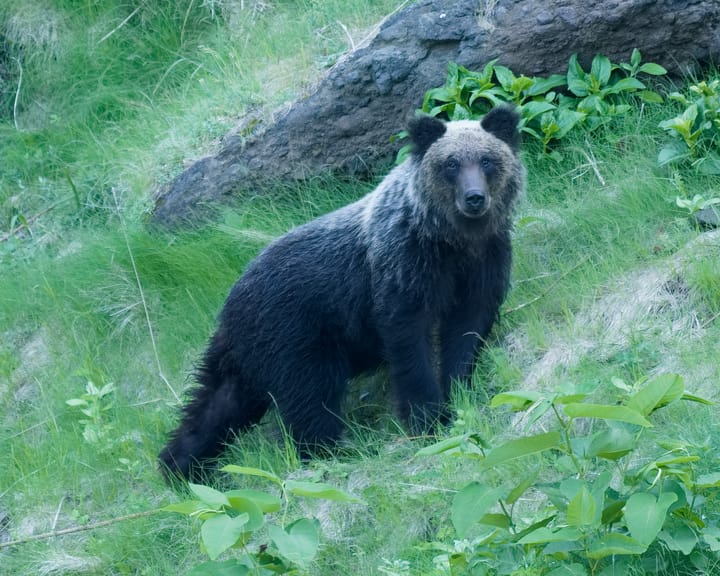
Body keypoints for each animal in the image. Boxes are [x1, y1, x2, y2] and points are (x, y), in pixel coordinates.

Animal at [159, 105, 524, 480]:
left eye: (487, 159)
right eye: (450, 163)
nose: (474, 198)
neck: (450, 241)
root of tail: (229, 302)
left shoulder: (483, 263)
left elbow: (466, 330)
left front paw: (458, 394)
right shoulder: (404, 268)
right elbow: (410, 342)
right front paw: (428, 417)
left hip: (249, 354)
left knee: (217, 403)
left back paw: (181, 466)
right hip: (295, 335)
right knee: (309, 396)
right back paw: (327, 451)